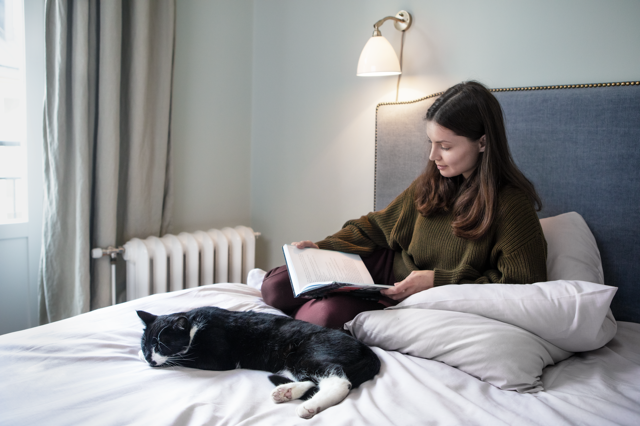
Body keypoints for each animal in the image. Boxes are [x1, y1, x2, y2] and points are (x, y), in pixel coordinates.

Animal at [137, 306, 380, 420]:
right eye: (145, 343)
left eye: (161, 344)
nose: (149, 357)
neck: (193, 325)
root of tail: (369, 352)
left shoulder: (218, 357)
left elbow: (186, 357)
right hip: (290, 362)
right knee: (312, 380)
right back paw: (285, 393)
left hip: (309, 353)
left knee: (339, 380)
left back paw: (308, 407)